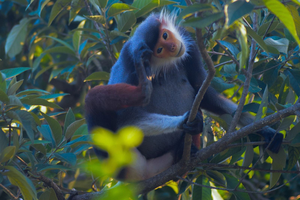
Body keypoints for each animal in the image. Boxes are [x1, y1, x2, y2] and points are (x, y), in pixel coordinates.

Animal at [85, 10, 284, 180]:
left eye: (165, 36)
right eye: (159, 49)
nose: (173, 46)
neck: (162, 64)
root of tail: (145, 173)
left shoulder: (188, 43)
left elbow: (205, 96)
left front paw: (267, 131)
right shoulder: (130, 60)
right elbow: (127, 120)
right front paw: (184, 121)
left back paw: (184, 152)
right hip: (118, 158)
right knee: (92, 98)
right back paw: (144, 91)